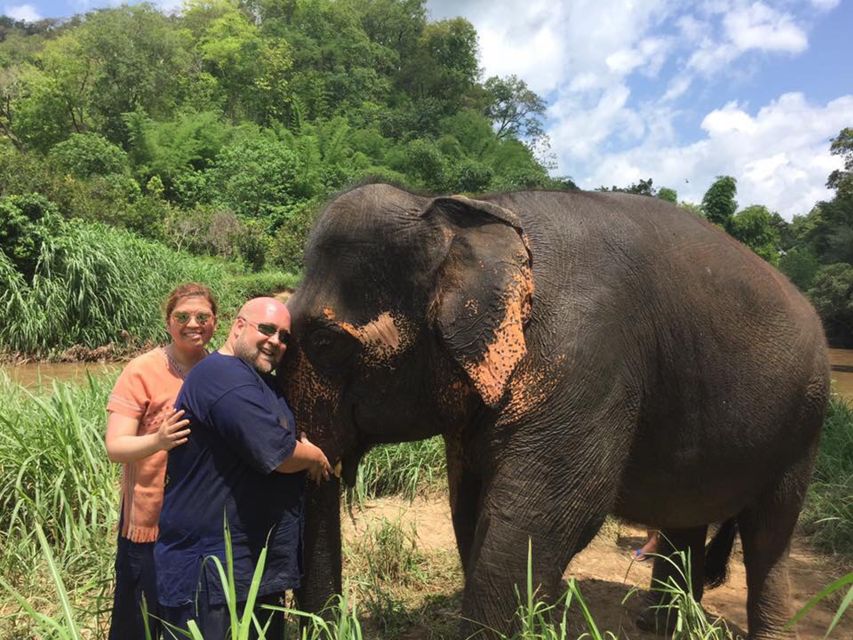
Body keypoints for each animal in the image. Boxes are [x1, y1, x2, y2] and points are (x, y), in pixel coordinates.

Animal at [282, 182, 829, 639]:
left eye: (327, 343)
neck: (469, 210)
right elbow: (471, 502)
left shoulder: (587, 359)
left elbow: (542, 514)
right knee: (686, 518)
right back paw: (659, 625)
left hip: (805, 422)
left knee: (769, 533)